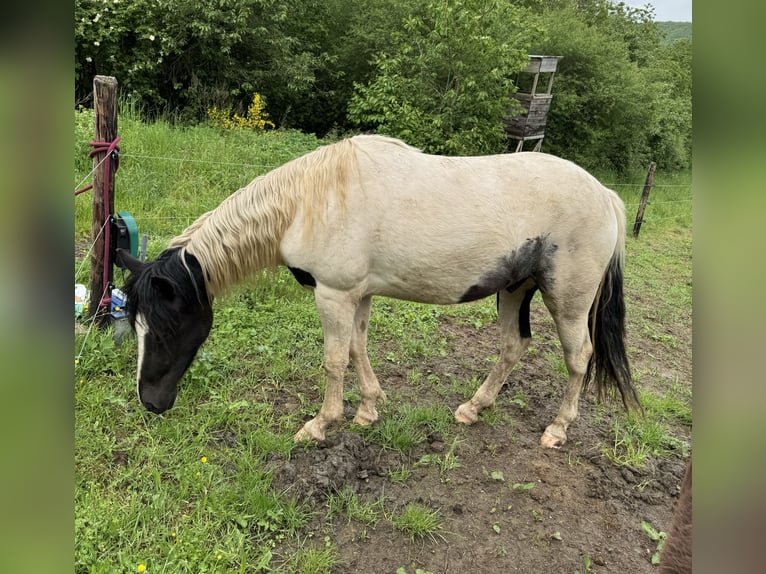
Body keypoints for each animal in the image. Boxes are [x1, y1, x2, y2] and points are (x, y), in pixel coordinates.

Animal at [117, 136, 640, 450]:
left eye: (165, 328)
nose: (149, 402)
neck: (308, 202)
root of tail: (606, 195)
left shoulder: (333, 294)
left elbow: (334, 360)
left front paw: (321, 424)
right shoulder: (356, 295)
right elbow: (358, 348)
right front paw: (368, 410)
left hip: (567, 301)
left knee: (578, 357)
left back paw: (557, 429)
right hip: (514, 289)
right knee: (514, 347)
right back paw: (473, 409)